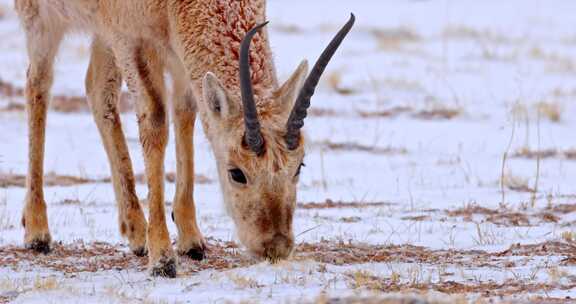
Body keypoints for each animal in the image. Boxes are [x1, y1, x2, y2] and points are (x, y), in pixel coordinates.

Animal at [15, 0, 354, 278]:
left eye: (299, 166)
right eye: (236, 173)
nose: (276, 247)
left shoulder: (174, 48)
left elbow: (186, 112)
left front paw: (191, 239)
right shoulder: (130, 37)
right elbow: (155, 119)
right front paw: (162, 259)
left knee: (98, 90)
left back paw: (135, 230)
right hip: (41, 20)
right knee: (37, 84)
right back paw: (37, 230)